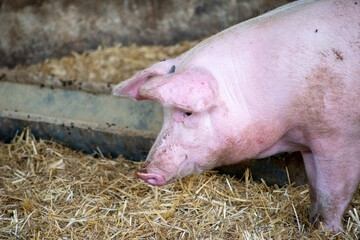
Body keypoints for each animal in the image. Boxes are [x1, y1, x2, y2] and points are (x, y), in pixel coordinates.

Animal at [114, 0, 360, 232]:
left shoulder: (338, 136)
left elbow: (331, 194)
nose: (144, 172)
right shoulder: (308, 142)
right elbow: (314, 188)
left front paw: (326, 230)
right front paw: (311, 222)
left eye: (188, 112)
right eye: (164, 113)